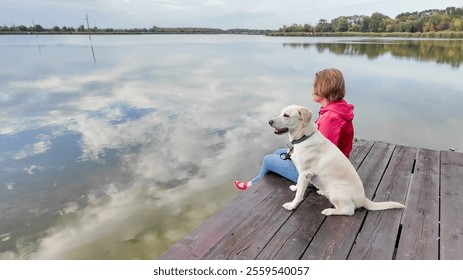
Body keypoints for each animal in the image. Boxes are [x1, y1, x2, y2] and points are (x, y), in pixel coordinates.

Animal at [270, 105, 404, 217]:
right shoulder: (301, 173)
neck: (304, 137)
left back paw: (330, 211)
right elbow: (299, 186)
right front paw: (296, 187)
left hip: (336, 190)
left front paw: (291, 205)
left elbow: (299, 196)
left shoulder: (305, 173)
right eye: (281, 113)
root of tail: (364, 198)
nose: (269, 121)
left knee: (349, 211)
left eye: (286, 115)